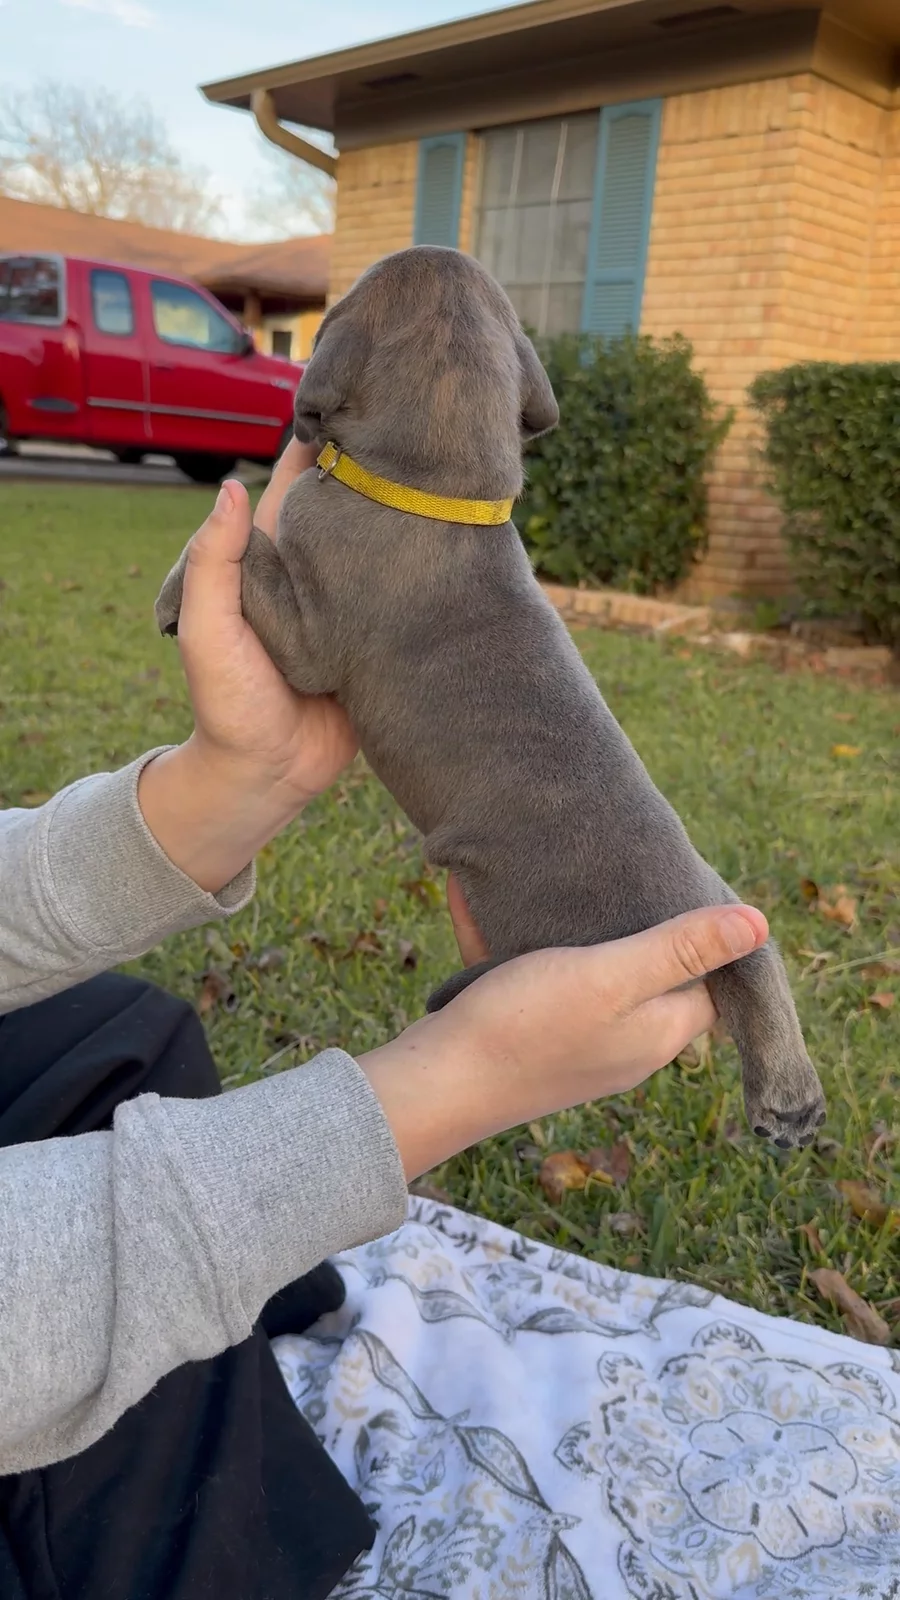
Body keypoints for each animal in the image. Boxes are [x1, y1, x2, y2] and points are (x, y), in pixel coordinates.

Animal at [156, 245, 826, 1148]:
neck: (436, 490)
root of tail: (675, 912)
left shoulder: (307, 637)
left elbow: (245, 552)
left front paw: (178, 589)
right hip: (716, 898)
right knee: (757, 950)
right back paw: (791, 1095)